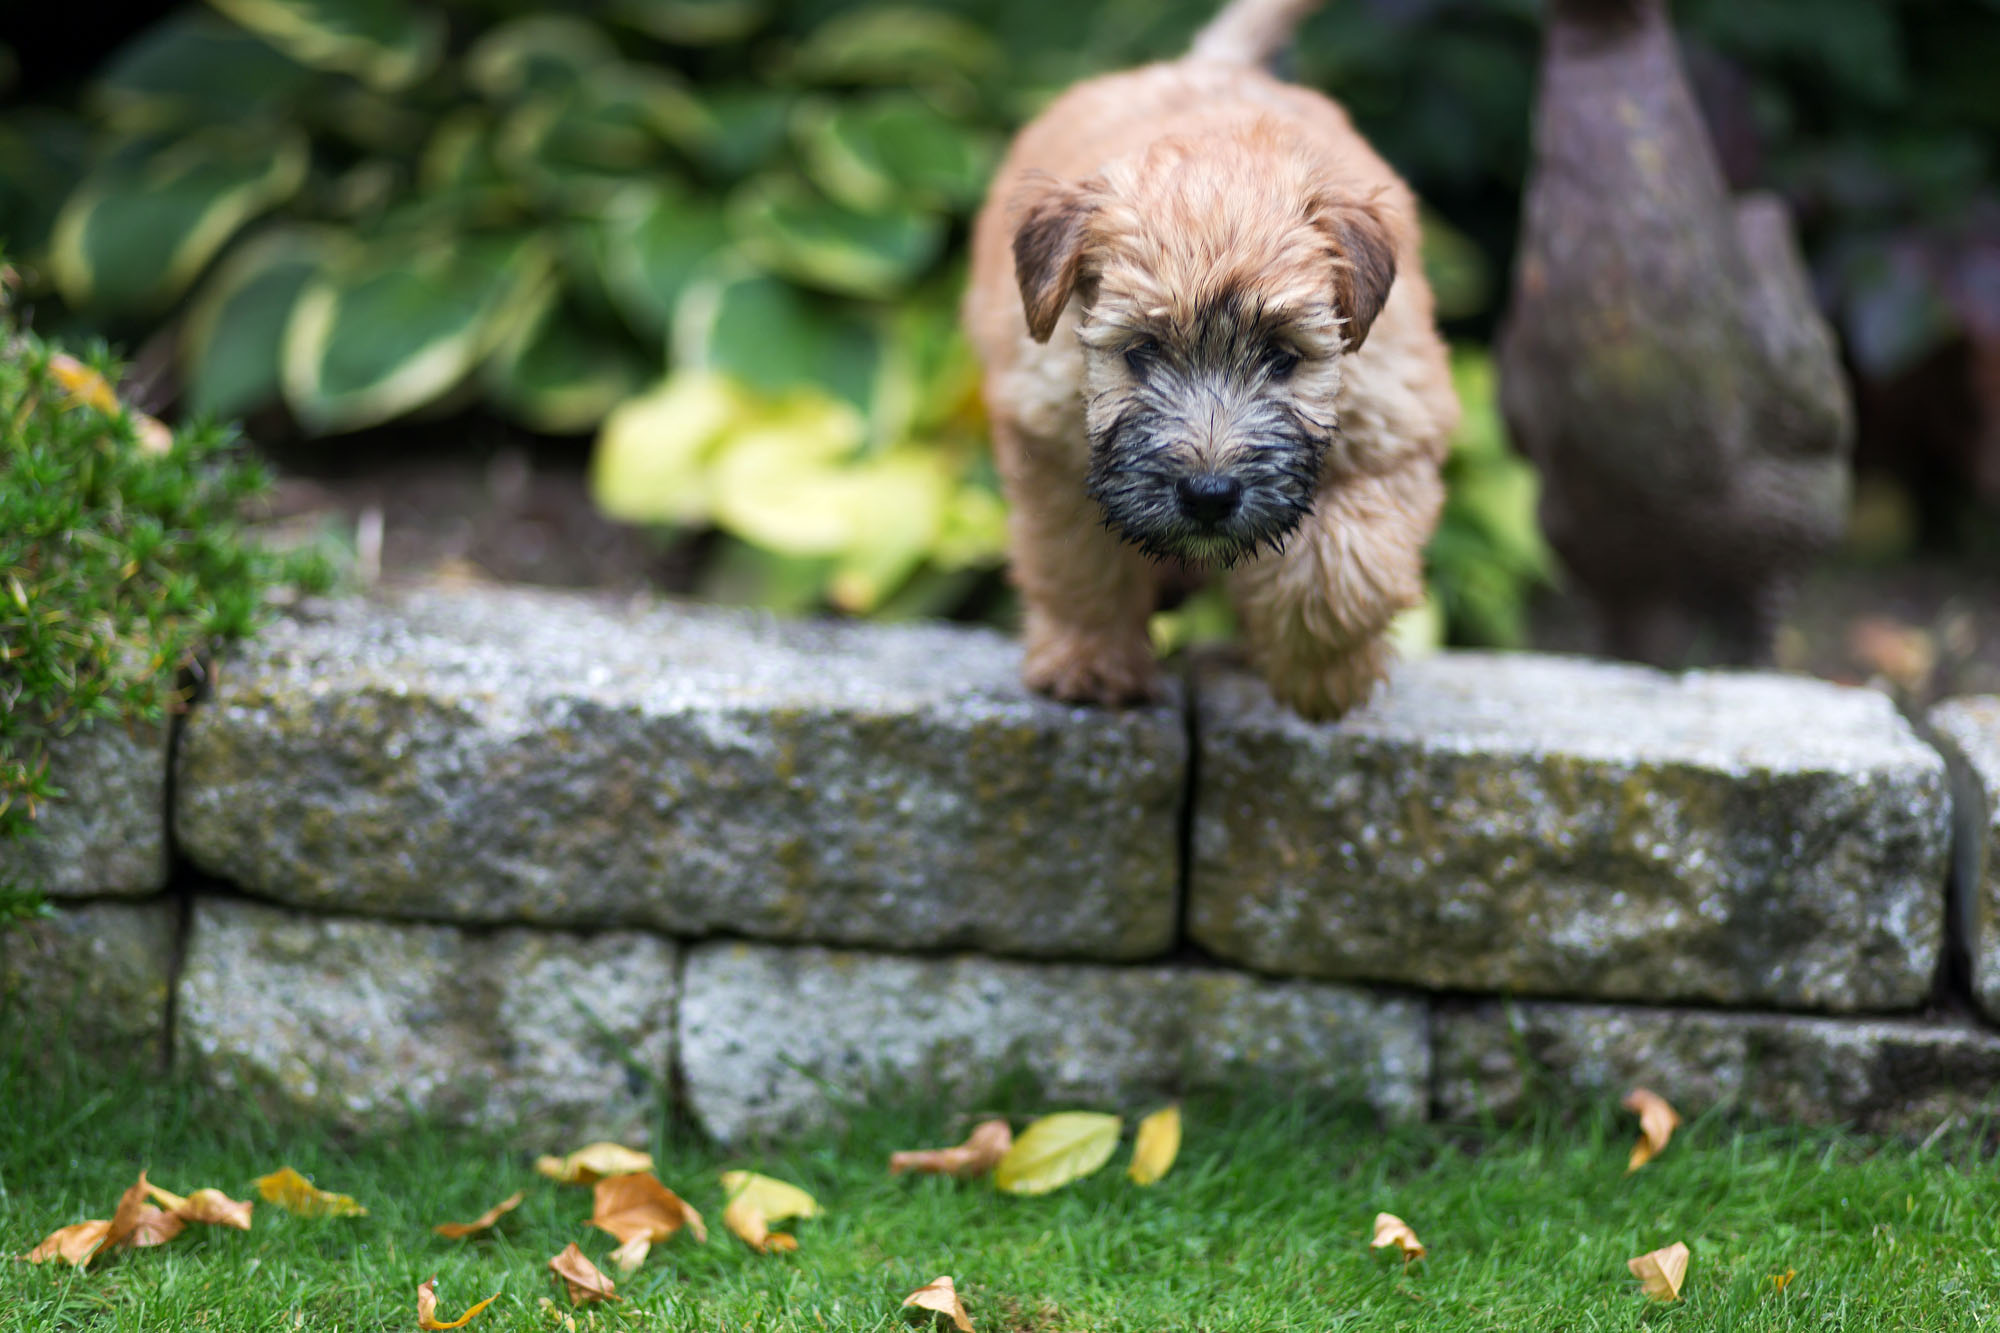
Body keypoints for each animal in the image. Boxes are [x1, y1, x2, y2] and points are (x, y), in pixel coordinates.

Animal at [964, 0, 1456, 716]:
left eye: (1283, 357)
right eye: (1140, 351)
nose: (1208, 495)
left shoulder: (1396, 429)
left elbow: (1343, 568)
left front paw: (1323, 676)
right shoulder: (1049, 445)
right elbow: (1077, 561)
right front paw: (1091, 663)